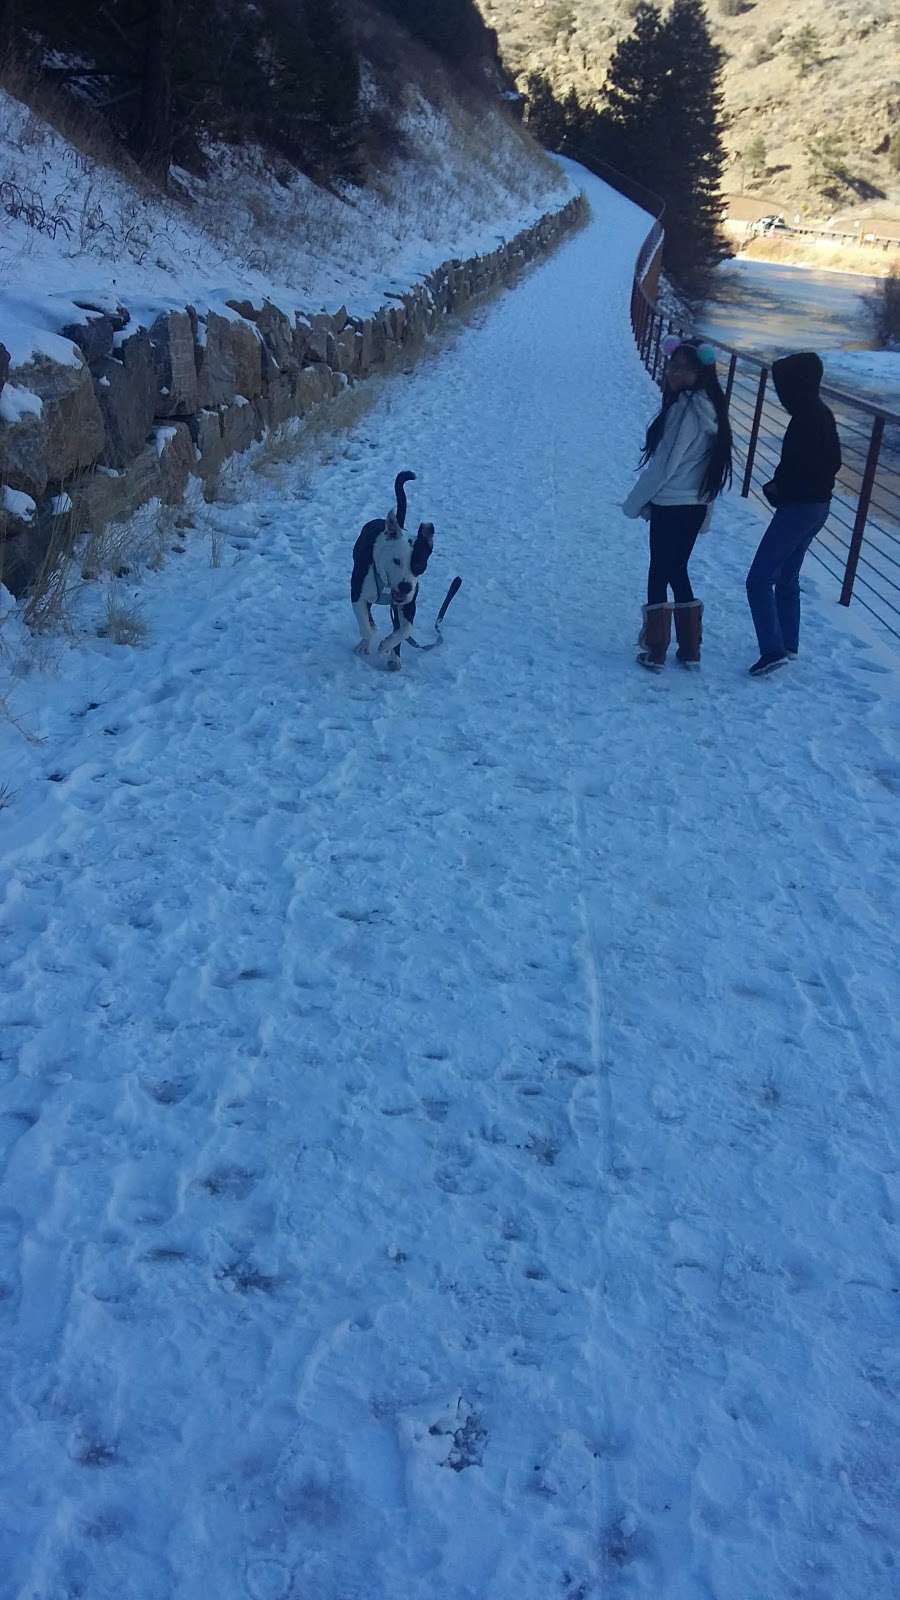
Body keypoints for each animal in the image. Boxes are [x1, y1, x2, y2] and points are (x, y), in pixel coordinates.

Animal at [349, 467, 432, 668]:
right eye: (396, 561)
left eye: (419, 564)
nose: (405, 586)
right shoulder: (357, 594)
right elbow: (366, 625)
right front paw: (367, 640)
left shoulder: (408, 604)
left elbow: (405, 629)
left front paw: (387, 645)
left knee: (396, 625)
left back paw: (394, 657)